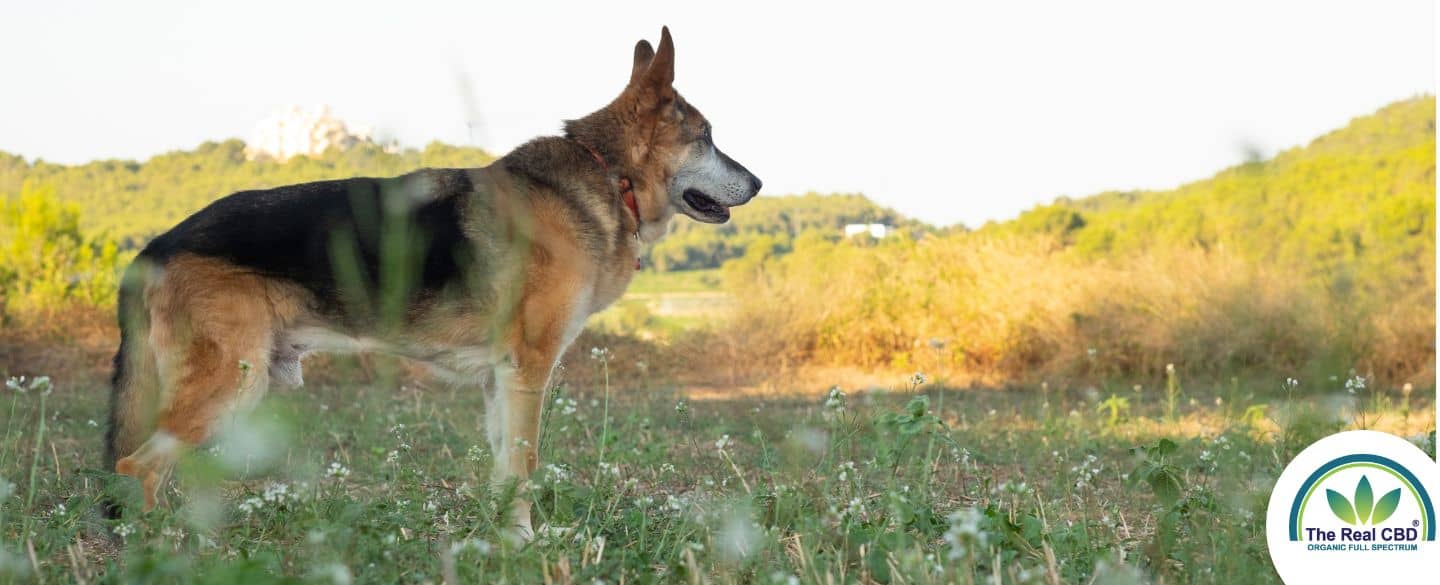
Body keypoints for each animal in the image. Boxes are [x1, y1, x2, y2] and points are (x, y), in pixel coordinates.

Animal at [105, 28, 760, 538]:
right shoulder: (527, 373)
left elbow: (503, 472)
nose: (757, 183)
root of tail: (155, 247)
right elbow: (525, 465)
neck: (608, 173)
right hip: (229, 387)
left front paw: (504, 540)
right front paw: (526, 545)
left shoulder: (501, 382)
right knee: (138, 468)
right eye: (707, 138)